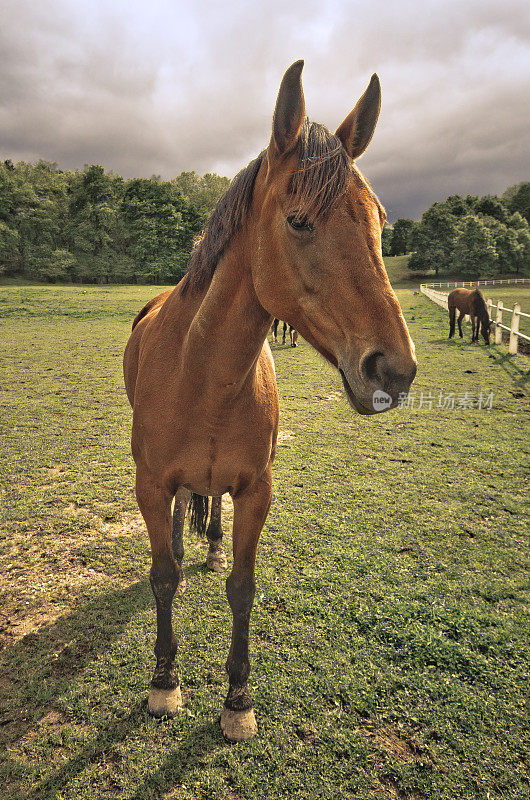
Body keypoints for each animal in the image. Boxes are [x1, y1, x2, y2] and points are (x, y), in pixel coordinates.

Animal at [121, 59, 414, 740]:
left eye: (379, 221)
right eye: (299, 219)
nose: (394, 369)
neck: (200, 375)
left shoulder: (257, 489)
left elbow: (242, 585)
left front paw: (237, 699)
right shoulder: (150, 483)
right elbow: (163, 577)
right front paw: (164, 682)